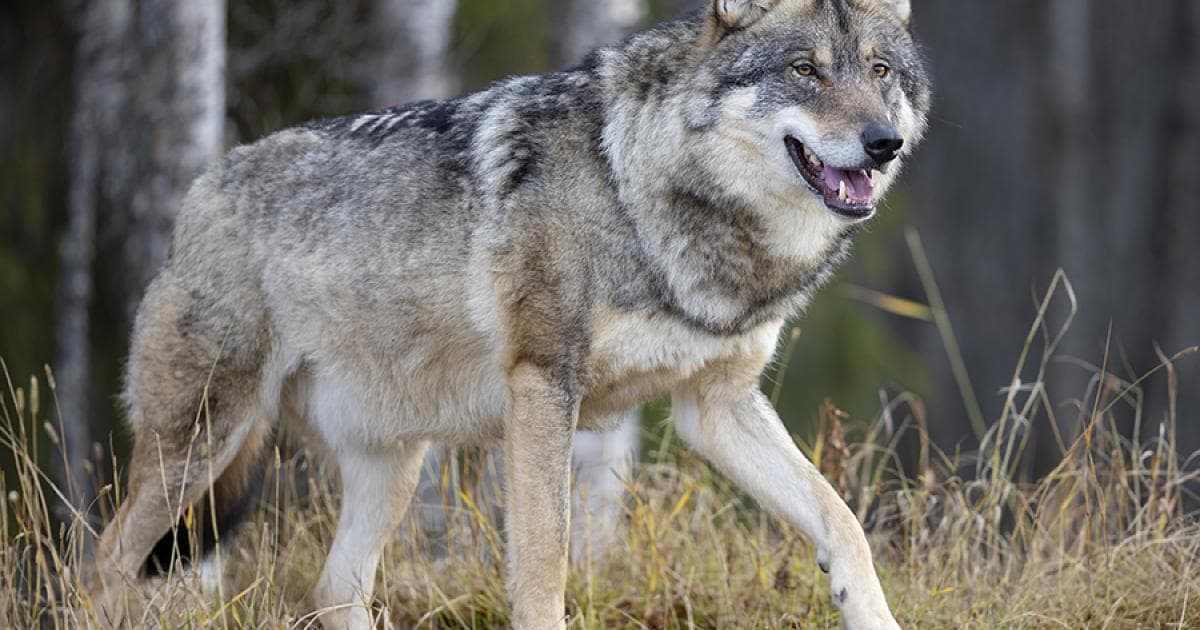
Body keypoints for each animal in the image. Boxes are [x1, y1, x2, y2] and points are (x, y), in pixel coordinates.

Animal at [90, 0, 930, 627]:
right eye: (804, 71)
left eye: (879, 72)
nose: (882, 144)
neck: (641, 188)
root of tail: (204, 185)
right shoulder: (543, 384)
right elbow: (546, 558)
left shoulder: (716, 405)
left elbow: (842, 520)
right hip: (201, 443)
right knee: (102, 560)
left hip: (392, 466)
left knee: (332, 589)